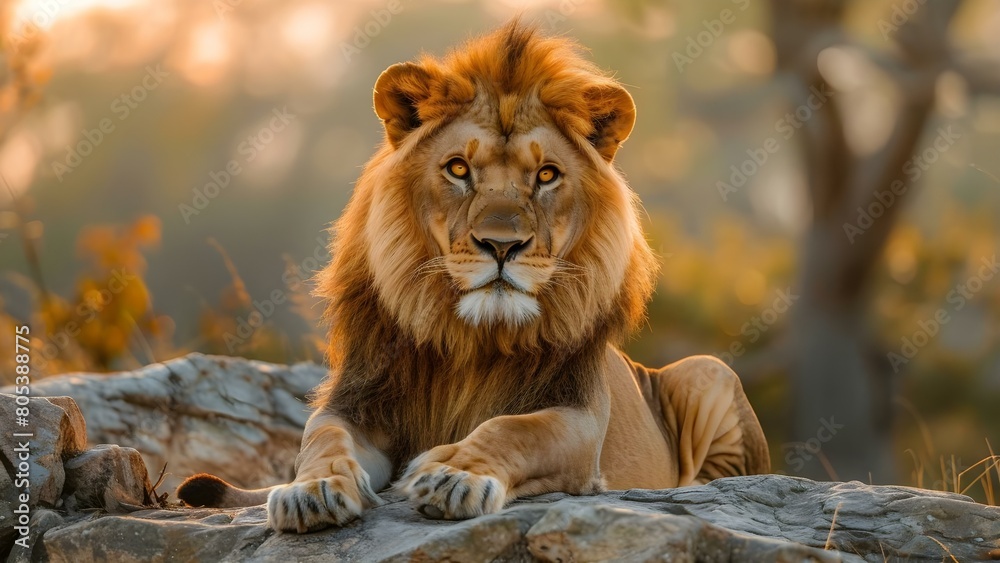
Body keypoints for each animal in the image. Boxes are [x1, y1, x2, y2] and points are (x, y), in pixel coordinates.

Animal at [176, 21, 770, 533]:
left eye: (546, 175)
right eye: (458, 168)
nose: (502, 246)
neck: (472, 336)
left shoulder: (578, 417)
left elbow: (515, 429)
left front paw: (452, 474)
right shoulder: (359, 401)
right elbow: (321, 439)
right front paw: (312, 491)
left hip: (708, 371)